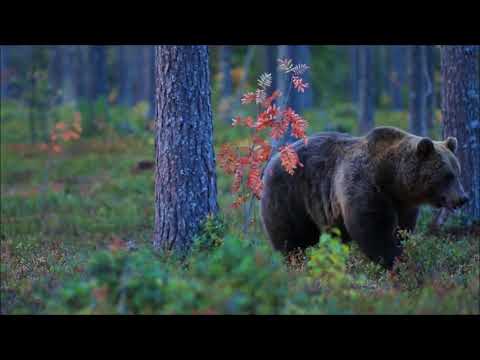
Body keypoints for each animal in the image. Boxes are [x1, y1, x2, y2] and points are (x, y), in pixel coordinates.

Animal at [260, 128, 466, 268]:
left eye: (457, 172)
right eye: (447, 175)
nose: (463, 198)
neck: (393, 179)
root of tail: (274, 157)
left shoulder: (402, 204)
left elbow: (403, 229)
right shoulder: (366, 185)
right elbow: (372, 229)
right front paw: (394, 260)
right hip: (289, 194)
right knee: (291, 237)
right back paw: (294, 262)